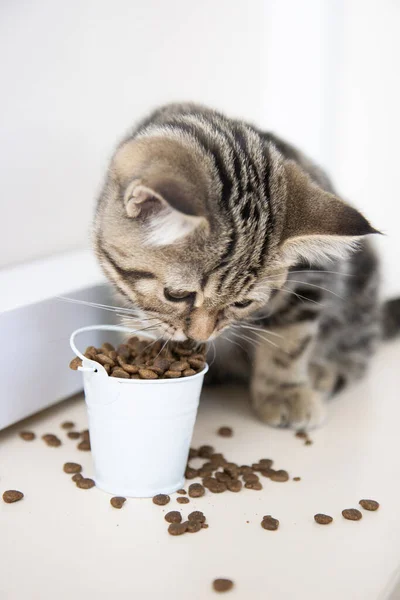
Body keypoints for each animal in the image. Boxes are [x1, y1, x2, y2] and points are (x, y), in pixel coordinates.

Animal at [94, 104, 400, 432]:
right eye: (176, 294)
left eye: (242, 303)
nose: (200, 337)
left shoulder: (313, 274)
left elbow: (289, 338)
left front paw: (284, 392)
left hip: (362, 283)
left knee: (359, 347)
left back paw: (324, 371)